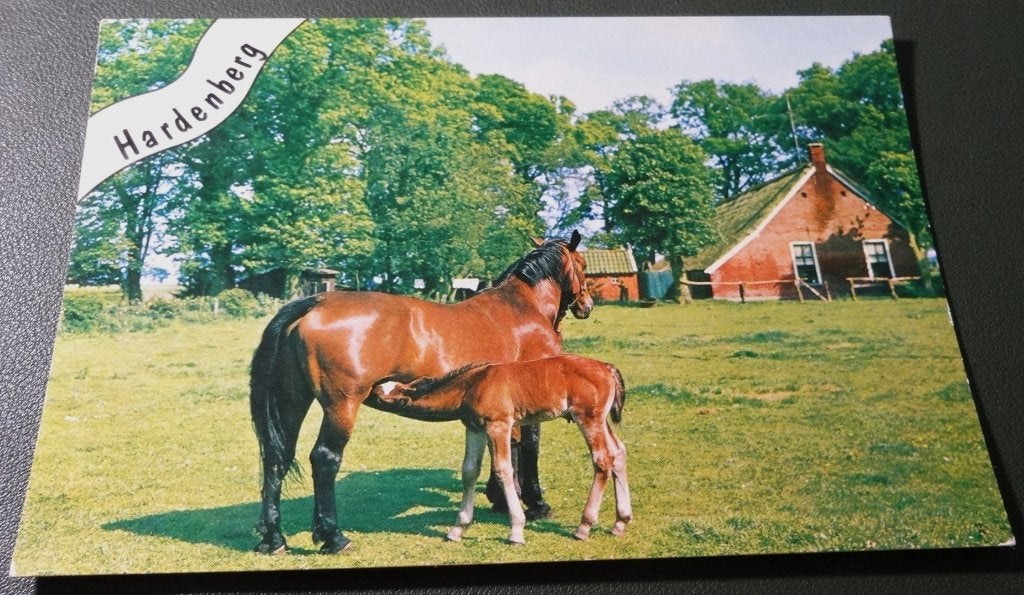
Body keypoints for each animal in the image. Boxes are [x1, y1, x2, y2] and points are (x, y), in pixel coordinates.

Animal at [250, 231, 592, 554]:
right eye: (584, 265)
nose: (587, 305)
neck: (521, 308)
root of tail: (314, 303)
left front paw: (499, 497)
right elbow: (530, 447)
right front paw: (536, 503)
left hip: (293, 401)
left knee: (277, 457)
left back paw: (273, 538)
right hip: (341, 405)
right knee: (324, 459)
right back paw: (334, 537)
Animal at [372, 354, 632, 545]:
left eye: (382, 394)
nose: (371, 386)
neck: (474, 384)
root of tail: (607, 368)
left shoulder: (499, 426)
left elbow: (503, 470)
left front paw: (516, 530)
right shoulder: (474, 428)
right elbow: (469, 471)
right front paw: (458, 529)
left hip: (587, 418)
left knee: (602, 459)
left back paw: (584, 526)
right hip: (600, 420)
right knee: (618, 452)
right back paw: (621, 522)